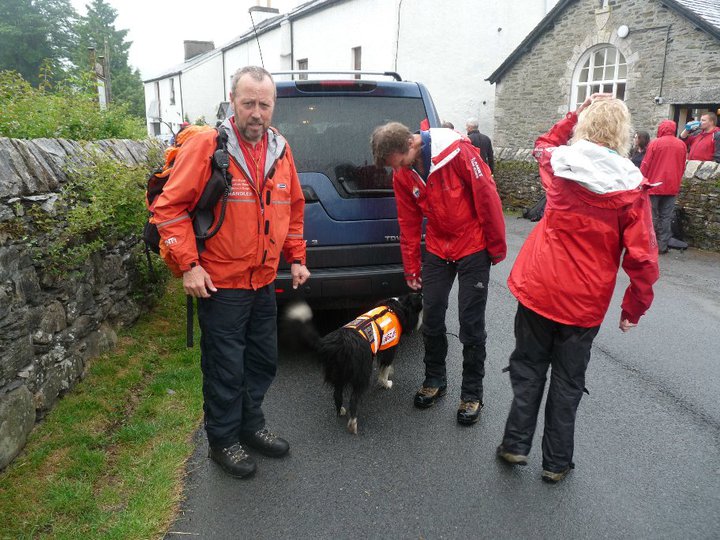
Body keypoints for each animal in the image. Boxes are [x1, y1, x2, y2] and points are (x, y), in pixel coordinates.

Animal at [286, 296, 422, 434]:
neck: (397, 307)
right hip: (361, 373)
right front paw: (386, 383)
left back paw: (340, 411)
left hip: (338, 373)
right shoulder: (389, 345)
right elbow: (385, 368)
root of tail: (338, 345)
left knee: (337, 394)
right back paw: (353, 423)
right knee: (354, 399)